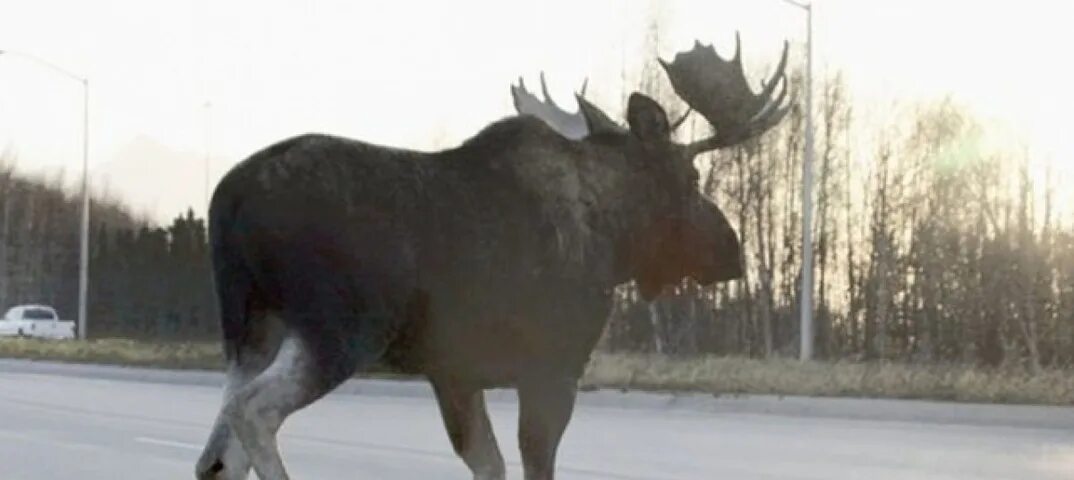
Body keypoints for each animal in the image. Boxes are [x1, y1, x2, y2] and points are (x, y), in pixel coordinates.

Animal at [197, 34, 790, 480]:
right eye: (691, 178)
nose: (732, 252)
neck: (616, 235)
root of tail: (228, 198)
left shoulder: (456, 373)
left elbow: (490, 464)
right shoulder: (553, 366)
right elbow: (533, 464)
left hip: (250, 327)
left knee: (218, 455)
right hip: (338, 330)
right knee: (253, 413)